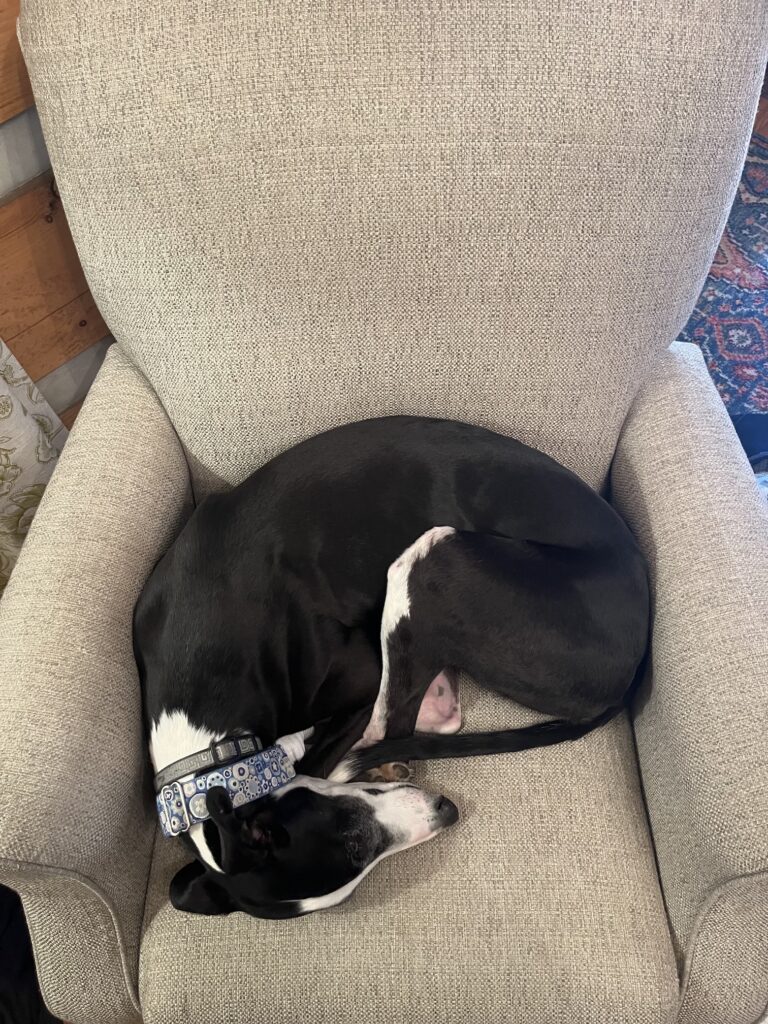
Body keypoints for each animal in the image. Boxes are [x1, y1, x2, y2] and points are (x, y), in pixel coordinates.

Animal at [134, 415, 651, 921]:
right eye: (353, 843)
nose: (446, 811)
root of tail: (629, 673)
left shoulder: (361, 679)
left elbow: (320, 754)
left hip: (433, 561)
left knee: (392, 725)